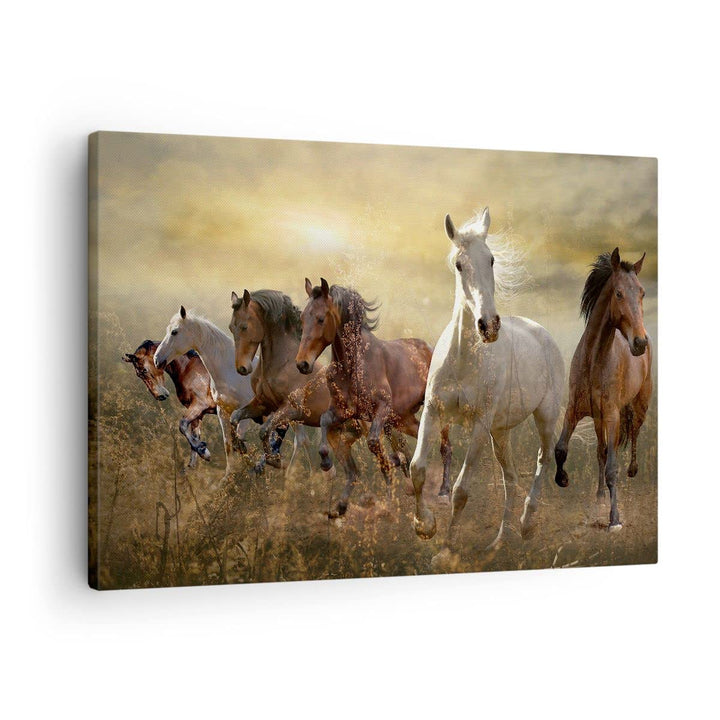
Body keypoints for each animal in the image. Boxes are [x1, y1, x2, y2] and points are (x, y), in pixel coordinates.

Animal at [295, 278, 452, 516]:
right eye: (303, 318)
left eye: (321, 318)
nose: (302, 364)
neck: (353, 366)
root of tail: (429, 348)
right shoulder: (344, 412)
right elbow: (325, 423)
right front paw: (327, 466)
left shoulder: (381, 409)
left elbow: (374, 445)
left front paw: (390, 499)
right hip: (402, 419)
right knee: (420, 438)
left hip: (433, 408)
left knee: (445, 444)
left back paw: (444, 492)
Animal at [410, 208, 564, 561]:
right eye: (458, 264)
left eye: (491, 260)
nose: (489, 325)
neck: (463, 359)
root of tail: (543, 333)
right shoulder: (434, 413)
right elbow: (417, 469)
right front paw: (424, 526)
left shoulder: (479, 424)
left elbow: (461, 490)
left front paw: (446, 551)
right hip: (501, 433)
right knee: (510, 479)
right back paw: (498, 543)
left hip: (545, 417)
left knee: (543, 459)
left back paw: (527, 525)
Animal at [554, 248, 652, 531]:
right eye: (618, 293)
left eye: (642, 292)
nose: (640, 343)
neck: (595, 361)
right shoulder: (575, 411)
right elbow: (561, 448)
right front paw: (562, 479)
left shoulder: (612, 415)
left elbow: (612, 468)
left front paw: (615, 519)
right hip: (598, 420)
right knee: (600, 451)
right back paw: (598, 495)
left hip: (639, 406)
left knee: (634, 434)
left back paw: (633, 469)